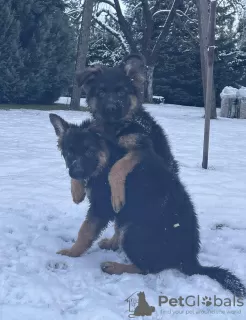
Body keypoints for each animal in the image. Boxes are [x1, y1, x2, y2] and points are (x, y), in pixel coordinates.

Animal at [49, 114, 246, 298]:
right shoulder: (114, 208)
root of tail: (190, 260)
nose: (75, 173)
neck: (107, 158)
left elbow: (85, 231)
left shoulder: (101, 207)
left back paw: (114, 266)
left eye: (89, 151)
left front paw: (72, 252)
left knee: (148, 268)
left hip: (133, 231)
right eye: (68, 153)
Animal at [71, 54, 179, 212]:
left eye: (121, 92)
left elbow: (118, 166)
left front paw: (117, 198)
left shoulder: (143, 149)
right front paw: (76, 189)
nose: (111, 108)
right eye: (101, 93)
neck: (116, 129)